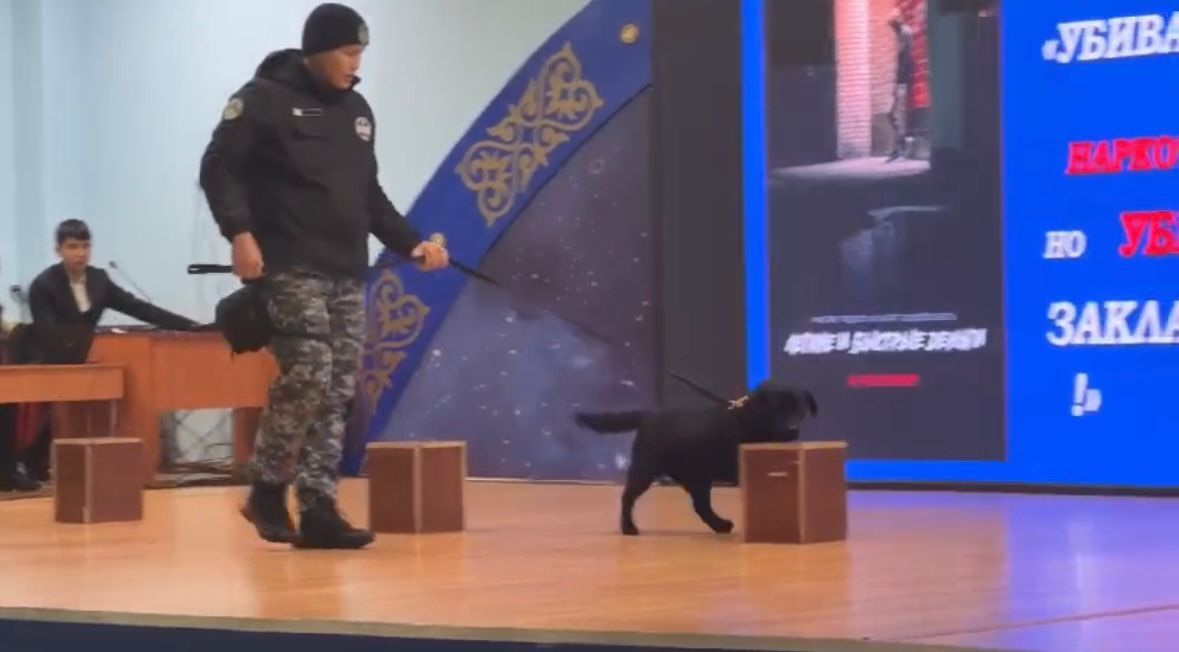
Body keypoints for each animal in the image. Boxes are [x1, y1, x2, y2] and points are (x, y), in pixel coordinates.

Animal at [575, 381, 818, 536]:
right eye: (777, 409)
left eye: (799, 408)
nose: (792, 429)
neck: (750, 418)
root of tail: (648, 415)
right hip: (645, 470)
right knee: (627, 498)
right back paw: (628, 528)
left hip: (697, 477)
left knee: (701, 506)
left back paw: (720, 526)